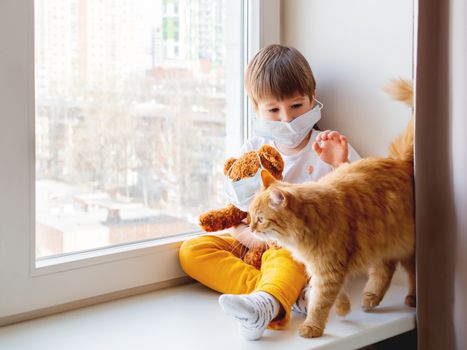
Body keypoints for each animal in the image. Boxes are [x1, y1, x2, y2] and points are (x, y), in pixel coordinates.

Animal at [250, 80, 414, 340]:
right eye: (250, 216)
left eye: (261, 219)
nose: (250, 228)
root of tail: (400, 163)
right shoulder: (322, 269)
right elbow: (329, 294)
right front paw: (343, 307)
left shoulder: (328, 269)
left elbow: (319, 301)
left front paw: (312, 327)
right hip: (383, 244)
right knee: (384, 271)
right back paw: (370, 298)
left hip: (406, 247)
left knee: (411, 274)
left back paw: (410, 298)